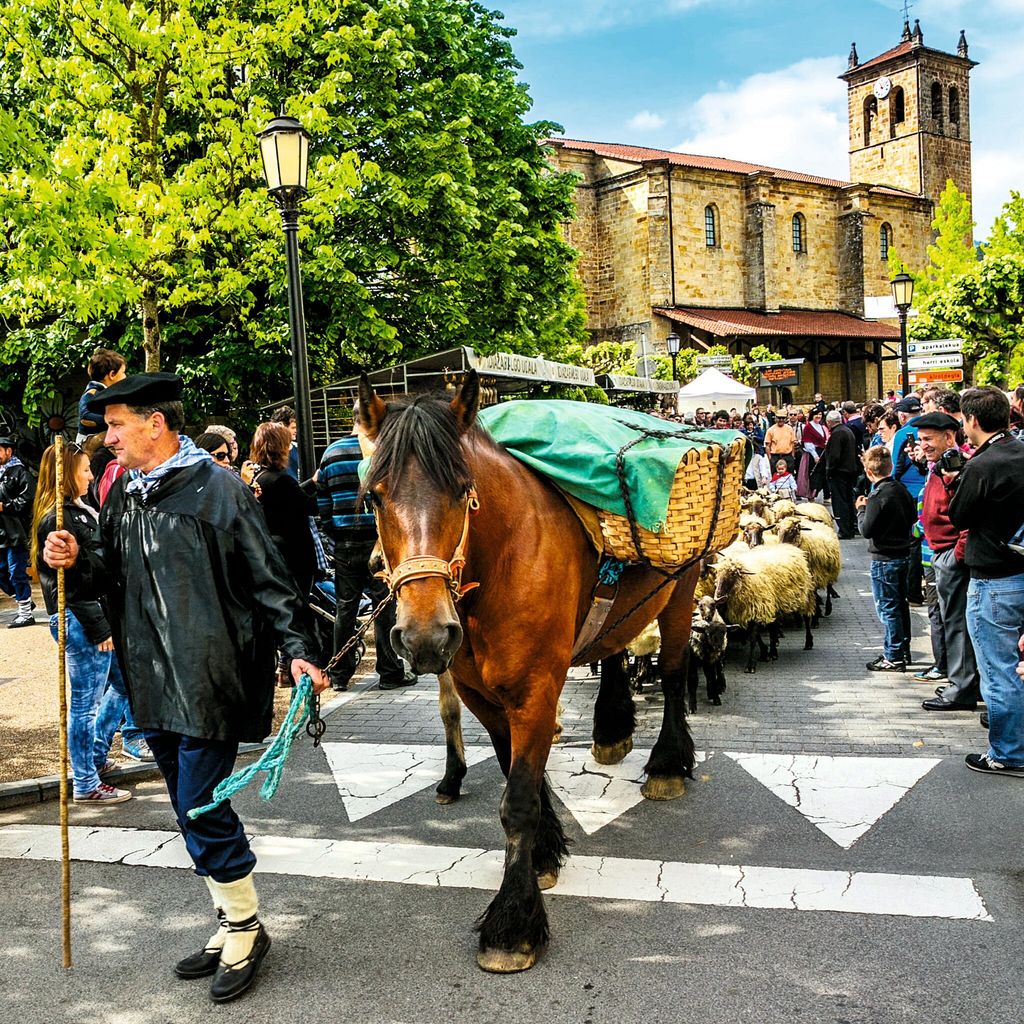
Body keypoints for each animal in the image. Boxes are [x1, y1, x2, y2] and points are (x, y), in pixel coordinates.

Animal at [356, 372, 700, 970]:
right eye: (375, 496)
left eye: (463, 490)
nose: (424, 636)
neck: (501, 561)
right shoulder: (481, 695)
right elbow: (517, 773)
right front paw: (544, 853)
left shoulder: (536, 690)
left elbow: (516, 802)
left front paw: (512, 923)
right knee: (614, 649)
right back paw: (611, 729)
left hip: (681, 588)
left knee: (677, 672)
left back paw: (667, 765)